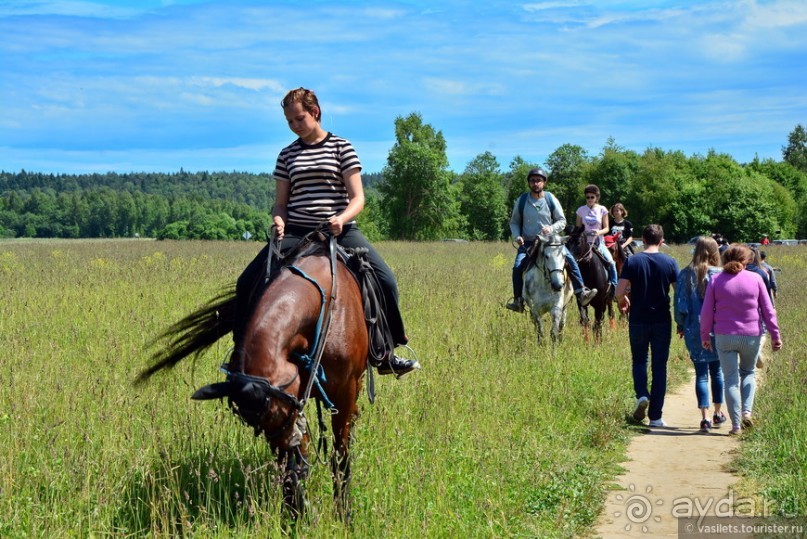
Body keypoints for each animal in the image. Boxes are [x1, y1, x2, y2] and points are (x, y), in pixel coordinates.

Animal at [137, 237, 370, 524]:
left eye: (279, 413)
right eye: (257, 426)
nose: (289, 443)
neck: (323, 306)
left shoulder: (341, 395)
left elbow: (341, 456)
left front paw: (343, 514)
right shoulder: (300, 399)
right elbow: (296, 468)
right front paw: (296, 512)